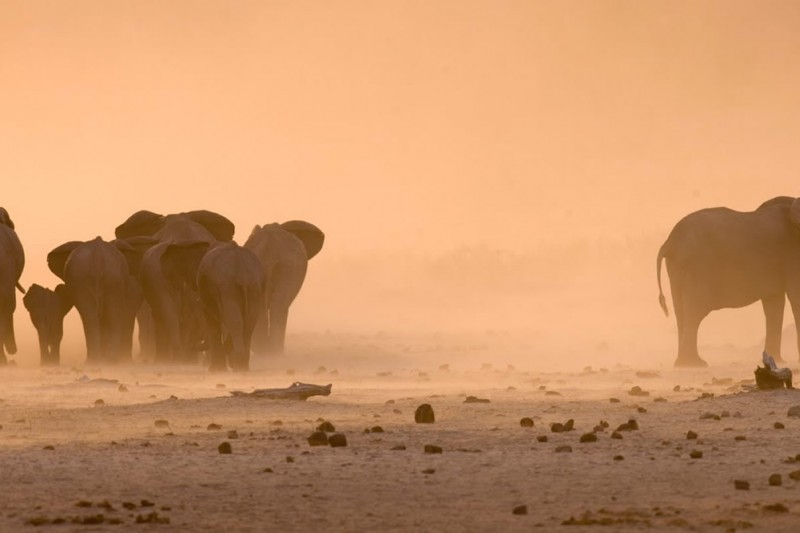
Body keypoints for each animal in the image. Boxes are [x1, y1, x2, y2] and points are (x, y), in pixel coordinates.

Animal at [244, 221, 324, 355]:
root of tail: (268, 245)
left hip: (286, 266)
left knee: (276, 304)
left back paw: (270, 353)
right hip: (288, 267)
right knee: (277, 304)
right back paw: (270, 352)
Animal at [657, 196, 800, 367]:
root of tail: (669, 243)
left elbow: (773, 303)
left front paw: (778, 361)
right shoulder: (792, 253)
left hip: (677, 268)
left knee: (681, 311)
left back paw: (685, 363)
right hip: (697, 266)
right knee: (695, 311)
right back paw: (694, 364)